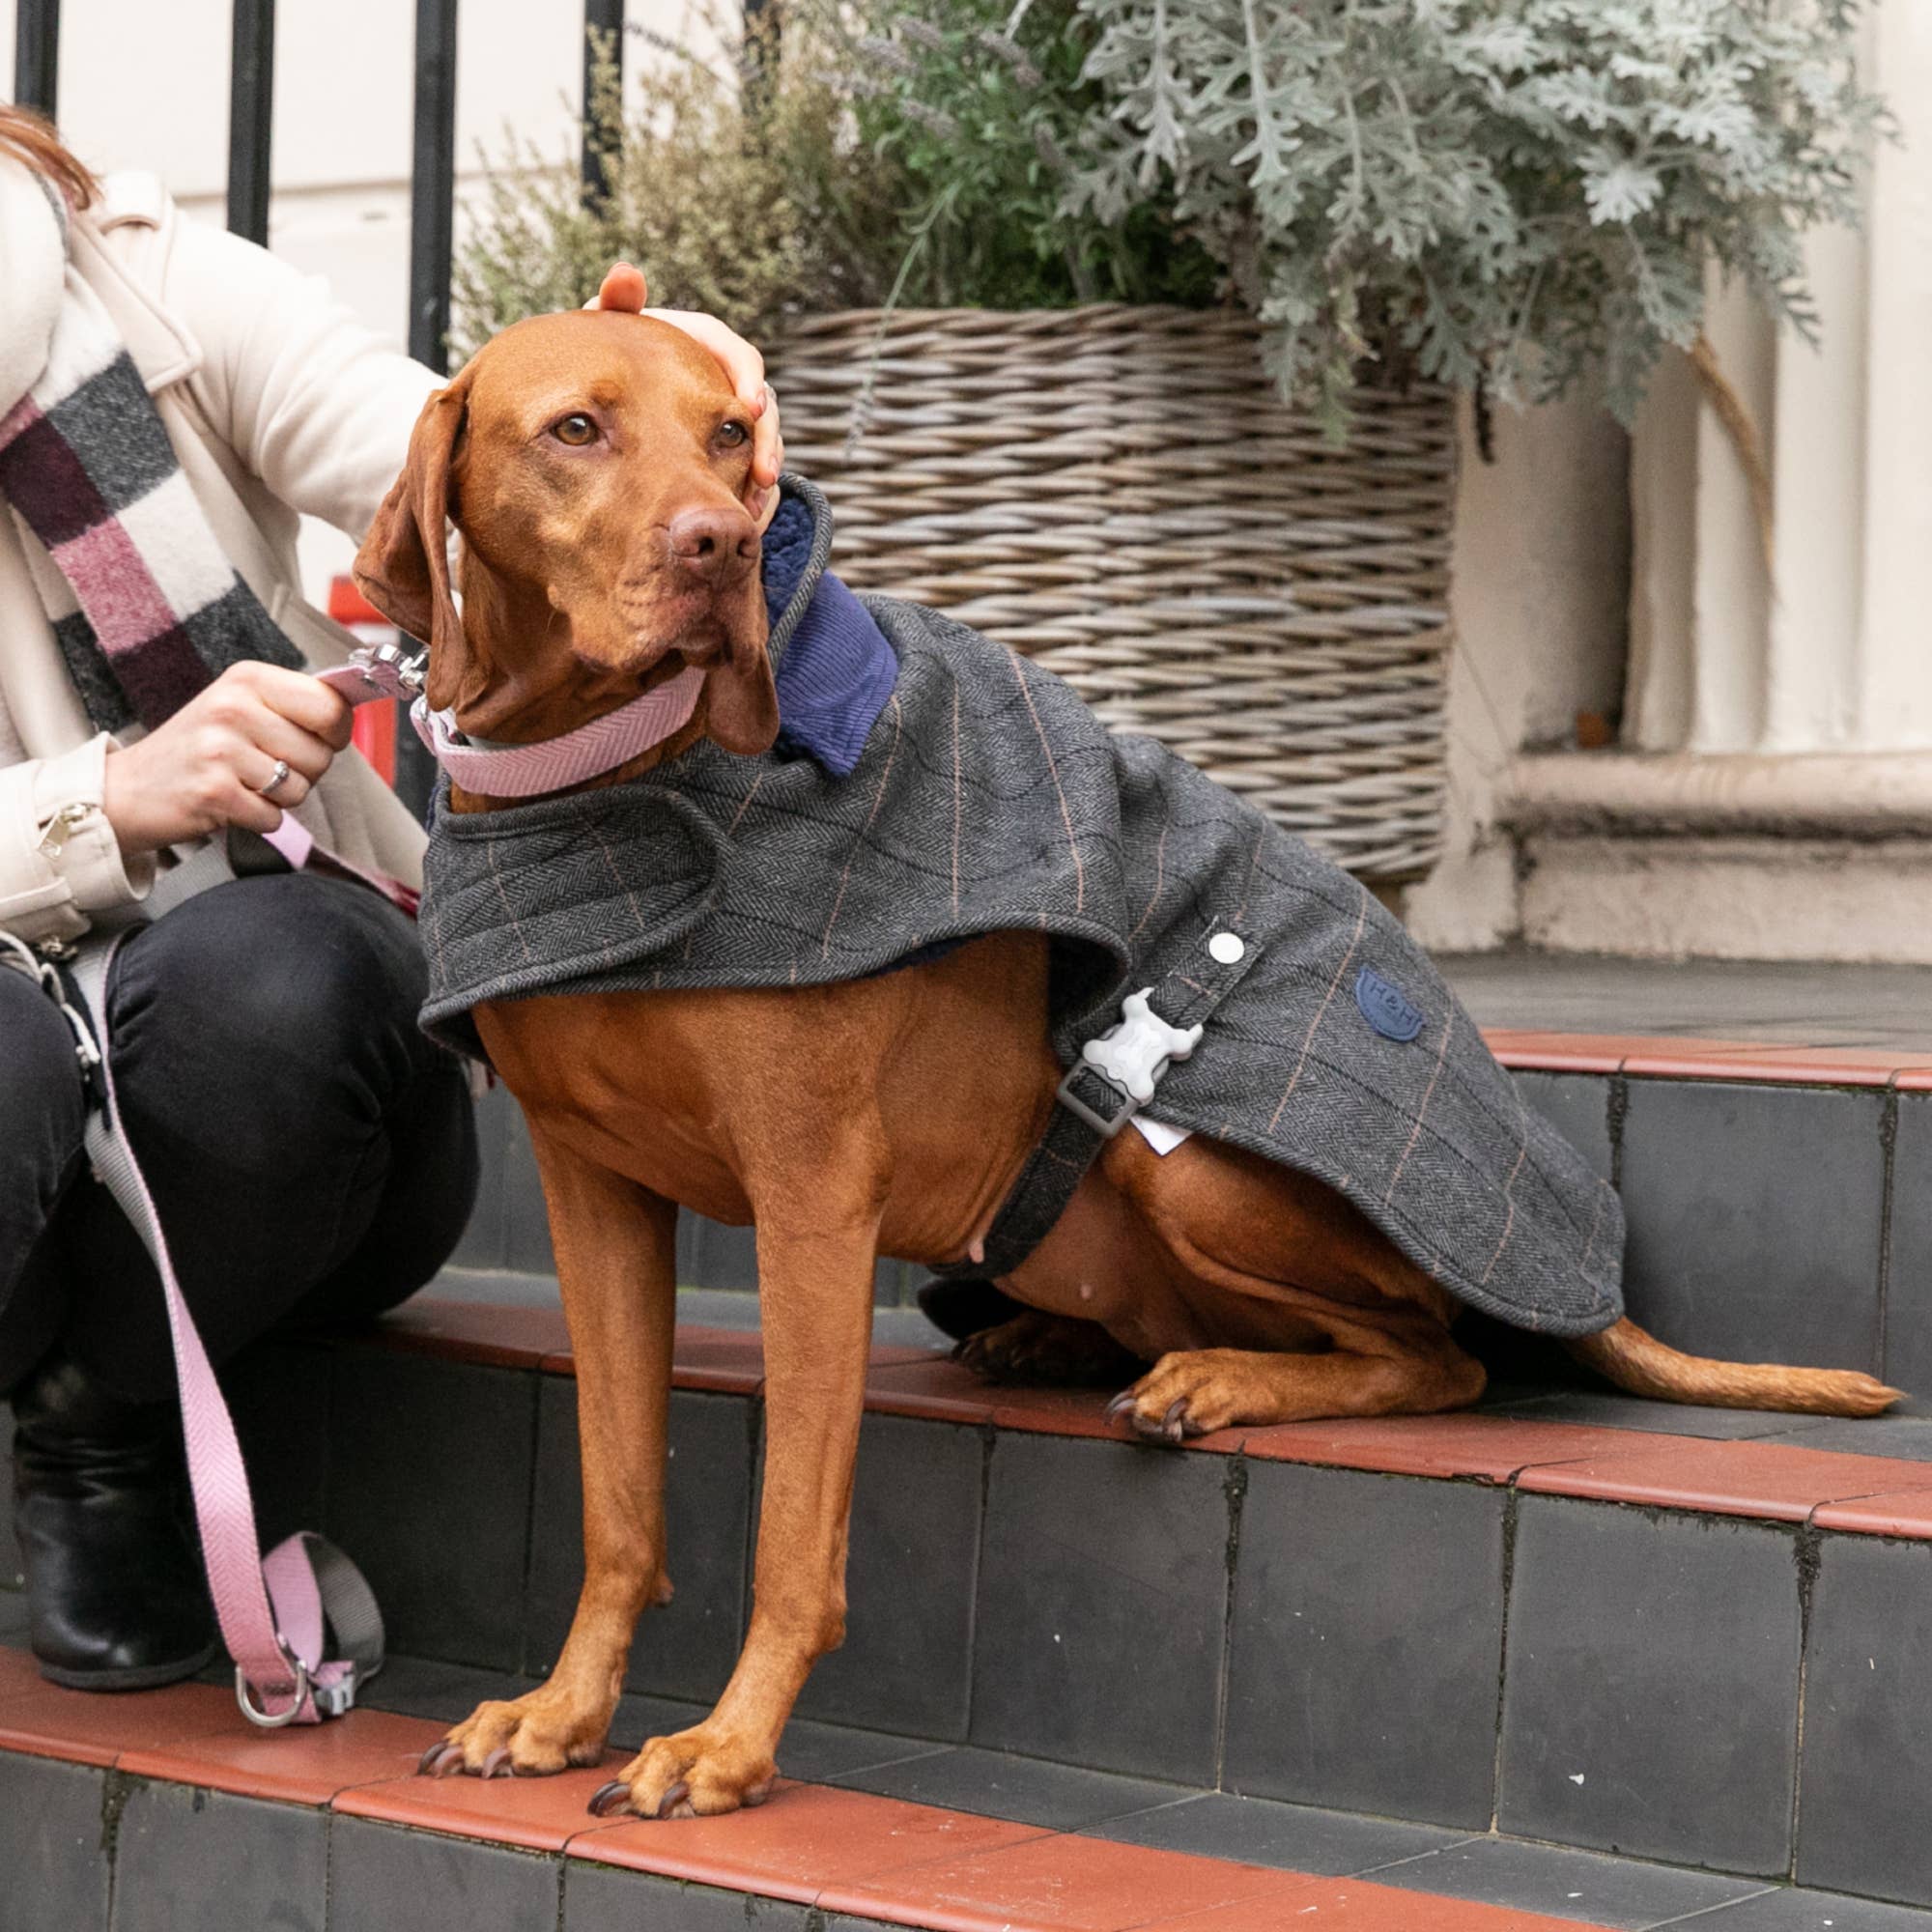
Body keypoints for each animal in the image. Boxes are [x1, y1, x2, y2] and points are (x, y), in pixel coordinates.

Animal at [352, 298, 1901, 1808]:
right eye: (575, 429)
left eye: (734, 433)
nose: (721, 547)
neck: (610, 774)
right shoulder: (592, 1196)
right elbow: (617, 1498)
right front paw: (562, 1711)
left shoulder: (812, 1195)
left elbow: (795, 1524)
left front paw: (728, 1747)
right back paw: (1056, 1337)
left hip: (1182, 1159)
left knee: (1435, 1352)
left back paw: (1217, 1374)